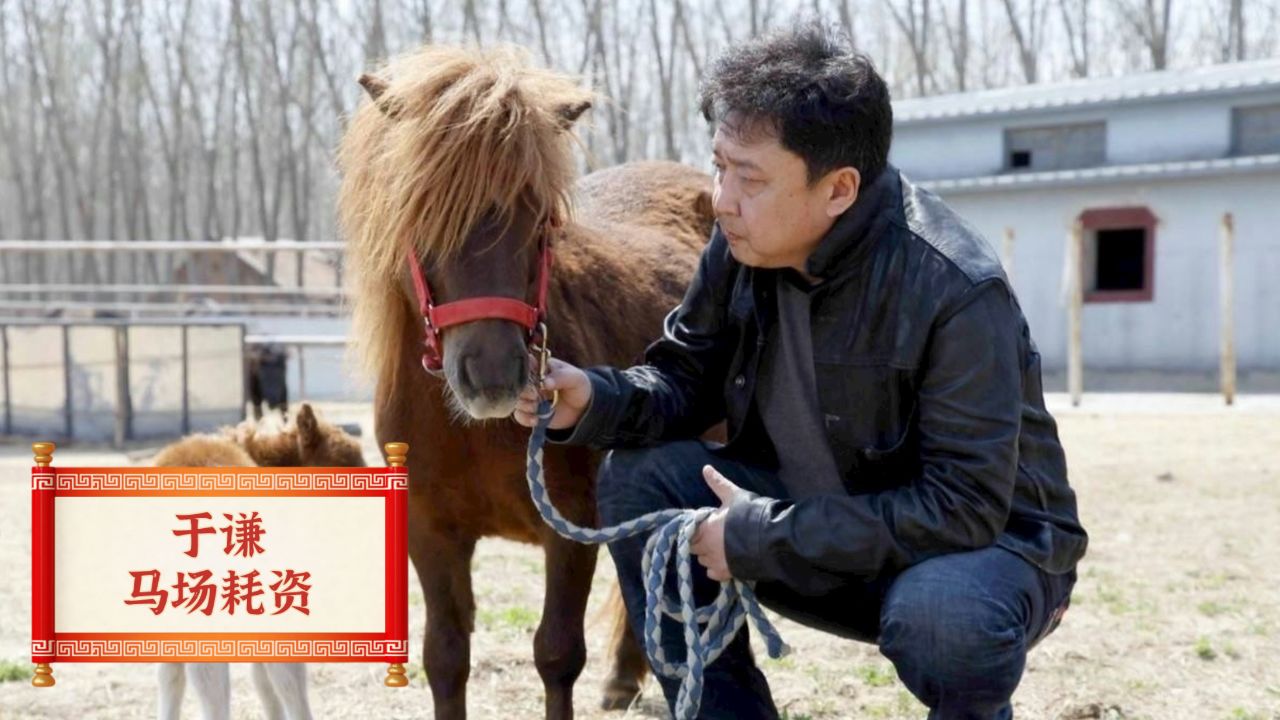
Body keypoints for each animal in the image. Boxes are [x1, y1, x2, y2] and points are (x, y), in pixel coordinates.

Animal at [336, 44, 714, 719]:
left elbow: (557, 654)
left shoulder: (571, 528)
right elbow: (445, 656)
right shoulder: (431, 533)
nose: (492, 376)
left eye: (538, 219)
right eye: (423, 213)